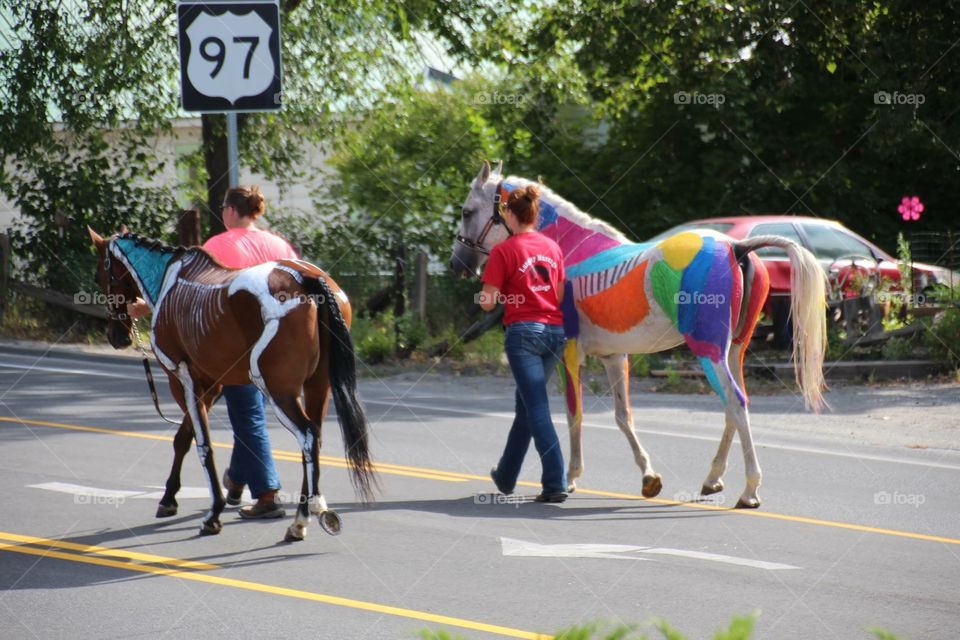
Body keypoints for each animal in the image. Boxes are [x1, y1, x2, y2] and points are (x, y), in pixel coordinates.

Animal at [88, 230, 376, 540]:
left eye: (99, 275)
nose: (117, 336)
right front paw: (169, 499)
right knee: (315, 438)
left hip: (278, 389)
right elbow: (184, 438)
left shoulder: (182, 379)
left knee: (308, 435)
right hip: (317, 385)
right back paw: (297, 518)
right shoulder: (212, 385)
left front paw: (212, 514)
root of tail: (305, 277)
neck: (168, 279)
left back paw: (303, 518)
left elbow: (201, 443)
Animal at [450, 161, 824, 510]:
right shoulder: (614, 357)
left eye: (467, 212)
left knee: (735, 401)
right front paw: (648, 477)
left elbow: (574, 413)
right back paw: (713, 479)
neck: (567, 250)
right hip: (735, 350)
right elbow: (623, 416)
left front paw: (570, 478)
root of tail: (738, 246)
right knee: (734, 407)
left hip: (709, 351)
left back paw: (749, 490)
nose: (457, 265)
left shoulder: (570, 351)